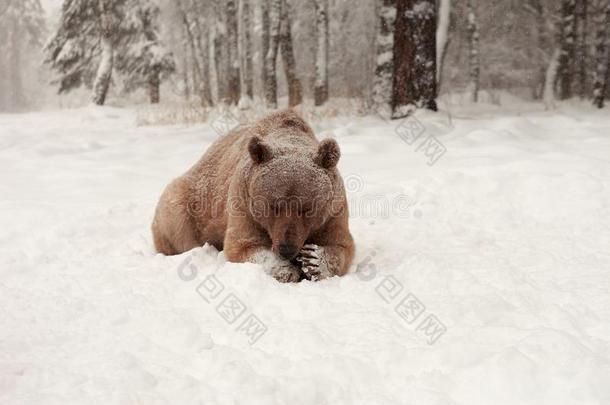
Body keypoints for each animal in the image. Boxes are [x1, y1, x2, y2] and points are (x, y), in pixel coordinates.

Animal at [149, 109, 354, 282]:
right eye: (274, 205)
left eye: (307, 208)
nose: (286, 248)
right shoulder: (244, 204)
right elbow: (244, 245)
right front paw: (287, 270)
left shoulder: (334, 210)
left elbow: (342, 246)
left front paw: (313, 261)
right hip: (188, 201)